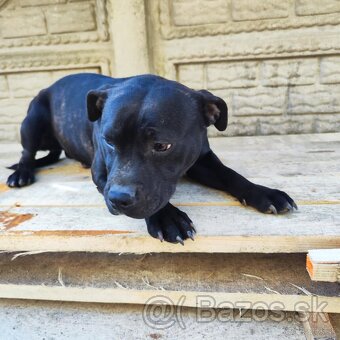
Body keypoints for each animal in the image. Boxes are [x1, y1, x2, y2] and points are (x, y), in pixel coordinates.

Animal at [6, 73, 296, 244]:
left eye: (162, 145)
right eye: (109, 141)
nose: (118, 199)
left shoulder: (201, 159)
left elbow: (230, 174)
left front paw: (263, 193)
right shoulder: (103, 175)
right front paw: (167, 217)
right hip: (32, 119)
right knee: (27, 153)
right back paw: (21, 172)